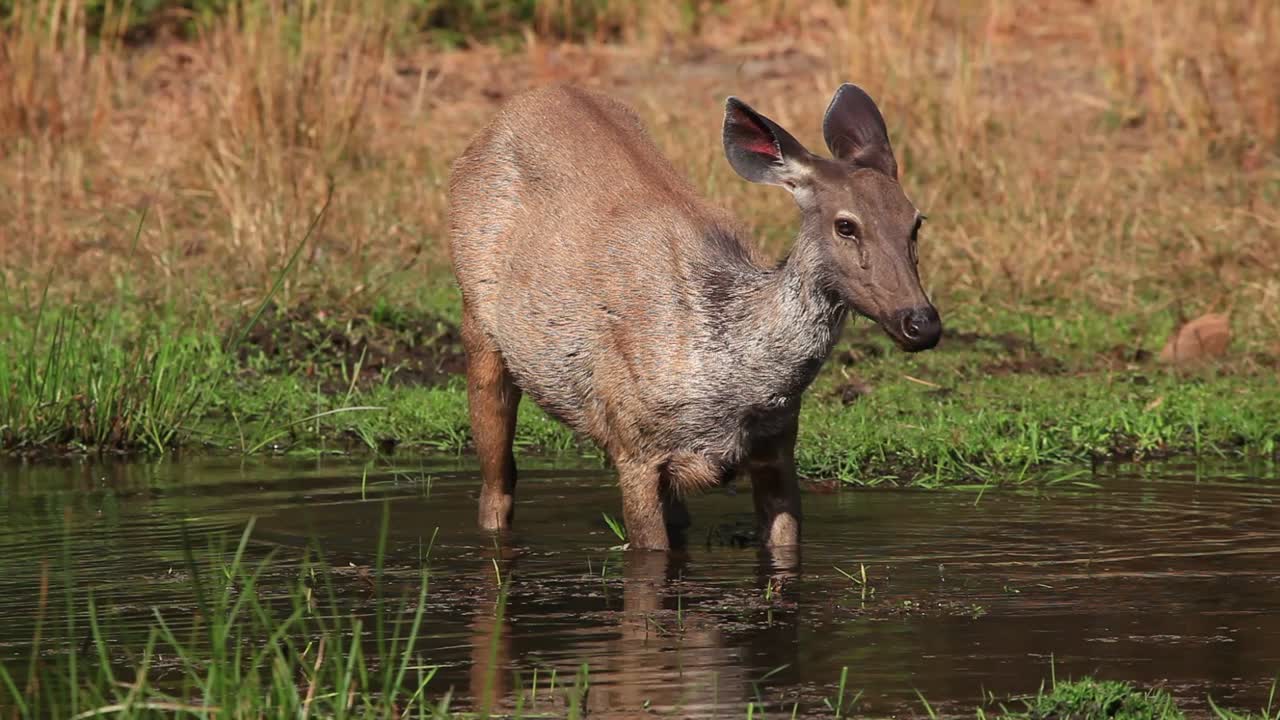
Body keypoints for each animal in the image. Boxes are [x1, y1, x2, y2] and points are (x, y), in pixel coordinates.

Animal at [448, 83, 940, 552]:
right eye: (846, 225)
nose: (922, 323)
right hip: (478, 319)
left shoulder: (778, 443)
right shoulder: (634, 446)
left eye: (915, 221)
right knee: (497, 484)